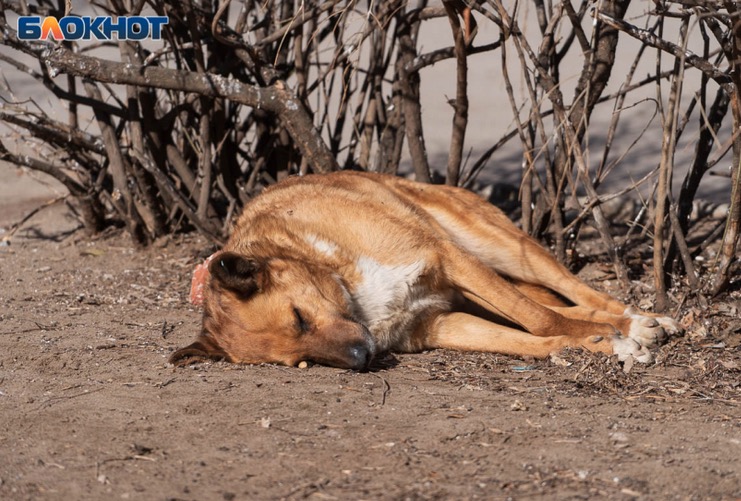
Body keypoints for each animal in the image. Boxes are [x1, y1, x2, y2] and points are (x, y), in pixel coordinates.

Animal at [171, 170, 680, 370]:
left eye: (299, 317)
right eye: (303, 360)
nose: (362, 358)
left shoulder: (445, 259)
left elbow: (539, 319)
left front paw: (616, 337)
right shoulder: (439, 324)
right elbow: (532, 338)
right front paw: (598, 346)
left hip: (497, 249)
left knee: (571, 292)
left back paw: (636, 318)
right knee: (553, 304)